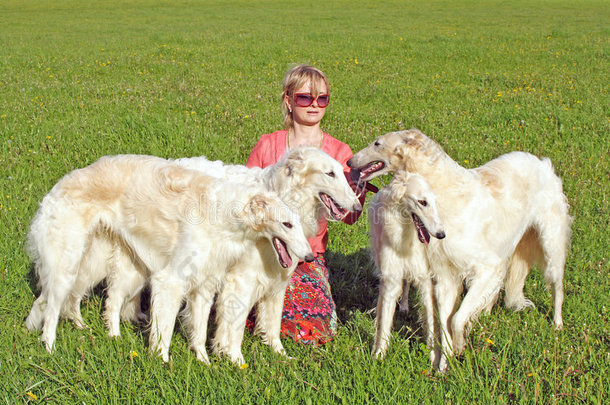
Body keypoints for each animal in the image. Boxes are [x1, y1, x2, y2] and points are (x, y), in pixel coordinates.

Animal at [368, 170, 444, 356]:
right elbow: (384, 321)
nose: (441, 234)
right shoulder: (391, 278)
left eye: (434, 202)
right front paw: (379, 354)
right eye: (422, 202)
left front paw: (432, 351)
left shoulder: (424, 278)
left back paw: (403, 306)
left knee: (407, 283)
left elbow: (430, 316)